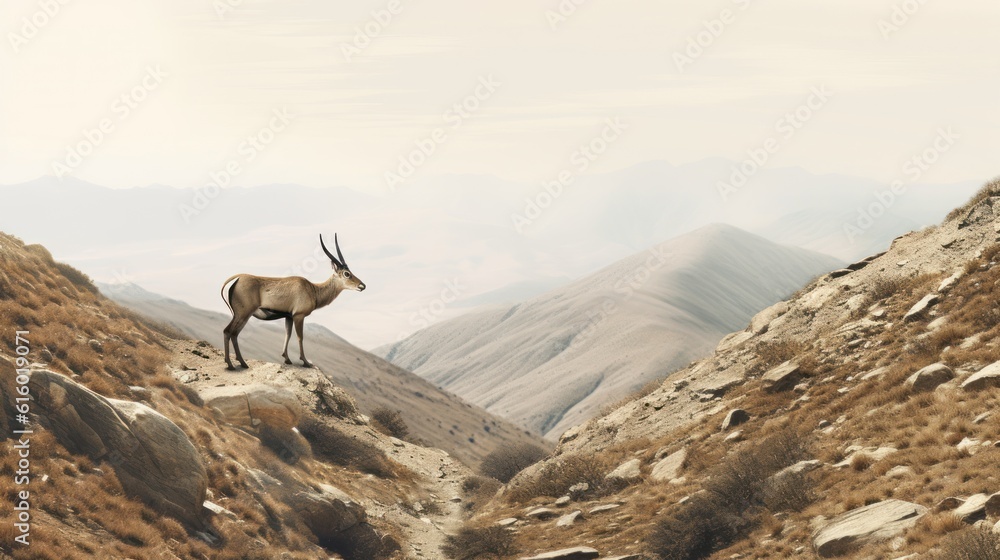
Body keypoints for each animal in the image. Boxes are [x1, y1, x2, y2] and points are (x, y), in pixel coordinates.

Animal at [221, 234, 365, 370]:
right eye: (347, 273)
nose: (362, 286)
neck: (313, 289)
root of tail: (238, 278)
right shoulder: (298, 316)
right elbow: (300, 337)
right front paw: (306, 362)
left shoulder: (289, 317)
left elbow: (288, 335)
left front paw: (287, 359)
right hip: (243, 314)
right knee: (229, 331)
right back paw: (231, 365)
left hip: (242, 315)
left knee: (234, 334)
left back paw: (242, 363)